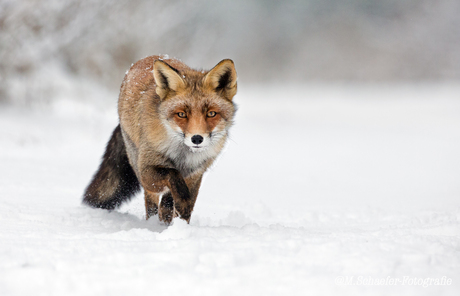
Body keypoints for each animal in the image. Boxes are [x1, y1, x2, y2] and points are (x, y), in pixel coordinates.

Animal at [83, 55, 239, 224]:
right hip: (138, 164)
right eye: (181, 114)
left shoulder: (195, 173)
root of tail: (149, 58)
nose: (197, 138)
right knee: (151, 200)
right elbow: (172, 175)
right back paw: (153, 222)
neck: (182, 157)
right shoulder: (147, 170)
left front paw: (181, 223)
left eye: (211, 114)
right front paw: (181, 204)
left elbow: (185, 200)